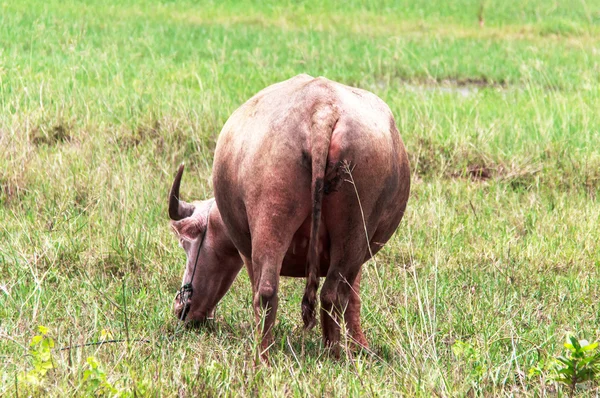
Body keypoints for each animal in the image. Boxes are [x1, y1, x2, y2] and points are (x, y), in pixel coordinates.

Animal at [171, 74, 410, 358]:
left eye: (187, 244)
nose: (180, 308)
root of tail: (321, 109)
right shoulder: (357, 257)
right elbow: (354, 298)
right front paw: (360, 347)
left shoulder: (245, 252)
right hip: (352, 232)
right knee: (331, 295)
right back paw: (334, 354)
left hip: (270, 220)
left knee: (266, 291)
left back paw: (263, 355)